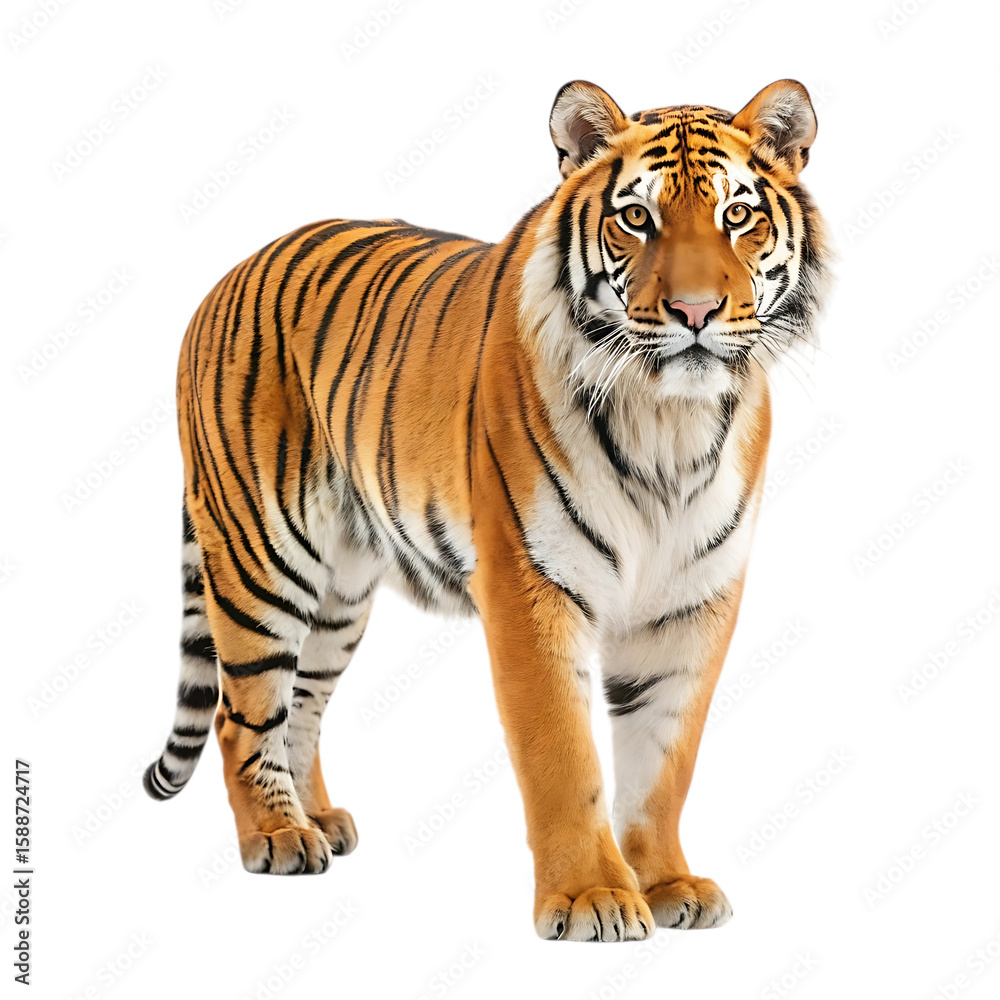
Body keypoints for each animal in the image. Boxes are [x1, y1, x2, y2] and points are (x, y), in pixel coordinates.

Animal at [144, 78, 829, 941]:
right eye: (637, 218)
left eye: (738, 214)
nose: (697, 312)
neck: (669, 421)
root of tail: (224, 276)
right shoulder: (531, 586)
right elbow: (563, 756)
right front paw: (593, 898)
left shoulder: (692, 601)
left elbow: (664, 761)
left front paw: (667, 882)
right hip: (261, 554)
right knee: (243, 713)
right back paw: (277, 836)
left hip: (340, 593)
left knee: (301, 702)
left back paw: (319, 819)